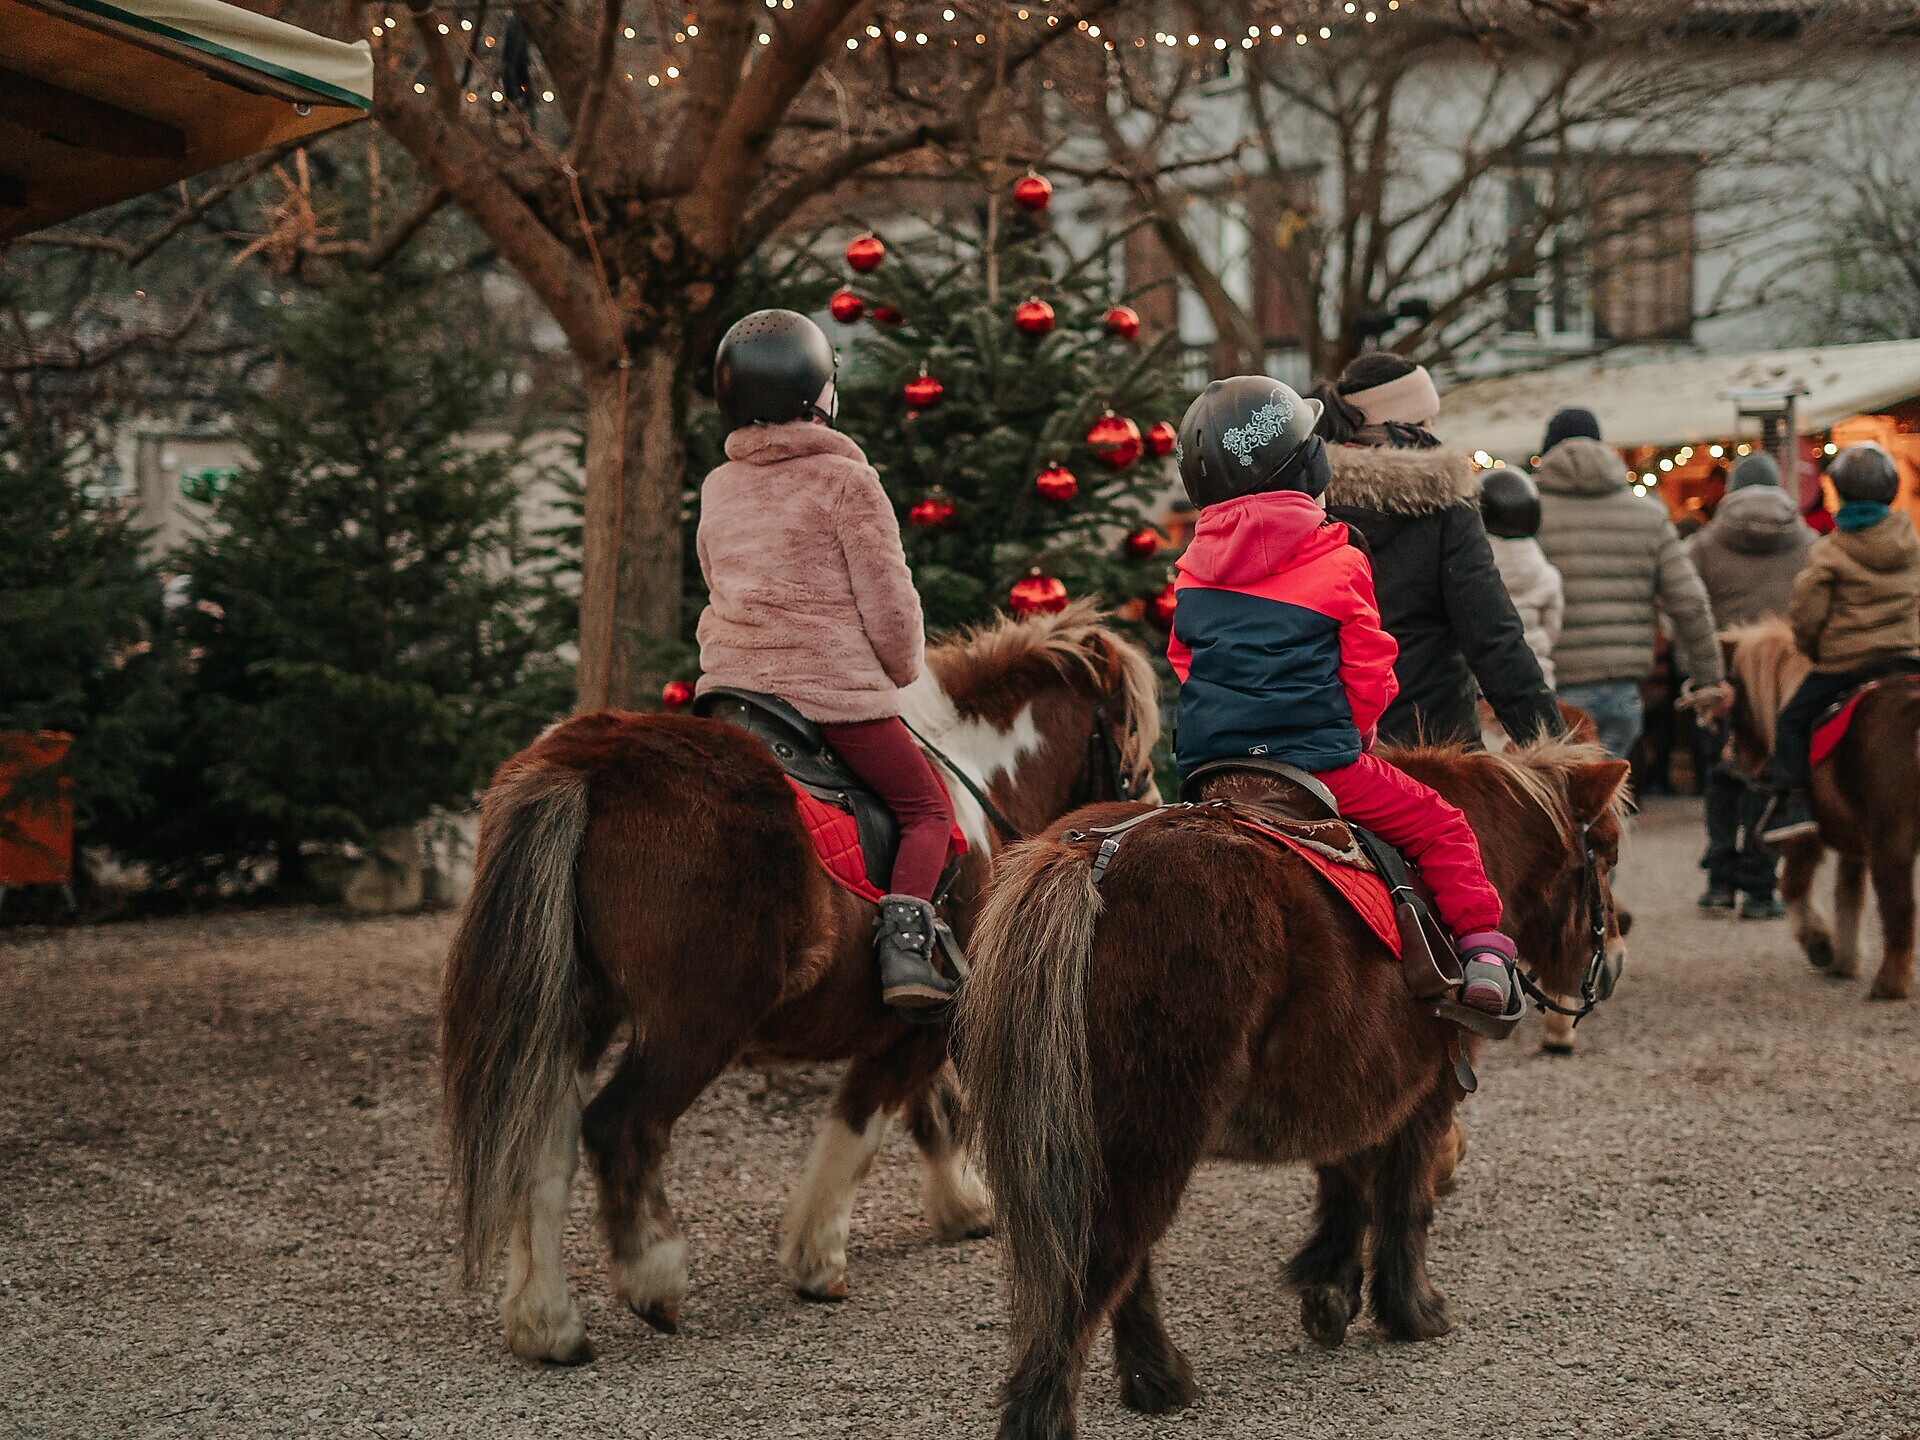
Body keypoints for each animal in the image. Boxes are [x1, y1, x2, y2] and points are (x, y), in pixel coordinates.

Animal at [440, 603, 1159, 1364]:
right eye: (1132, 733)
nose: (1149, 809)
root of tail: (586, 764)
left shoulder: (914, 1022)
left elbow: (932, 1110)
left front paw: (960, 1206)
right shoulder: (927, 1023)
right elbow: (862, 1122)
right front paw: (817, 1259)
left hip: (577, 1010)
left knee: (540, 1144)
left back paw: (545, 1323)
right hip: (694, 1025)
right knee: (619, 1127)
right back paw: (653, 1277)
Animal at [955, 738, 1630, 1440]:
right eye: (1606, 854)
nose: (1609, 966)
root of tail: (1089, 854)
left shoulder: (1350, 1076)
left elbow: (1345, 1178)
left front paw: (1330, 1288)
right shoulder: (1426, 1087)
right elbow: (1403, 1195)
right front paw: (1411, 1309)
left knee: (1124, 1271)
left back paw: (1158, 1380)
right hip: (1149, 1134)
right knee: (1093, 1272)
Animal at [1724, 617, 1920, 998]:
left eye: (1736, 702)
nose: (1730, 757)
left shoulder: (1806, 839)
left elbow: (1793, 885)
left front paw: (1820, 944)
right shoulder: (1855, 847)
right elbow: (1848, 896)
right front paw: (1845, 960)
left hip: (1893, 846)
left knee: (1899, 911)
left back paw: (1889, 985)